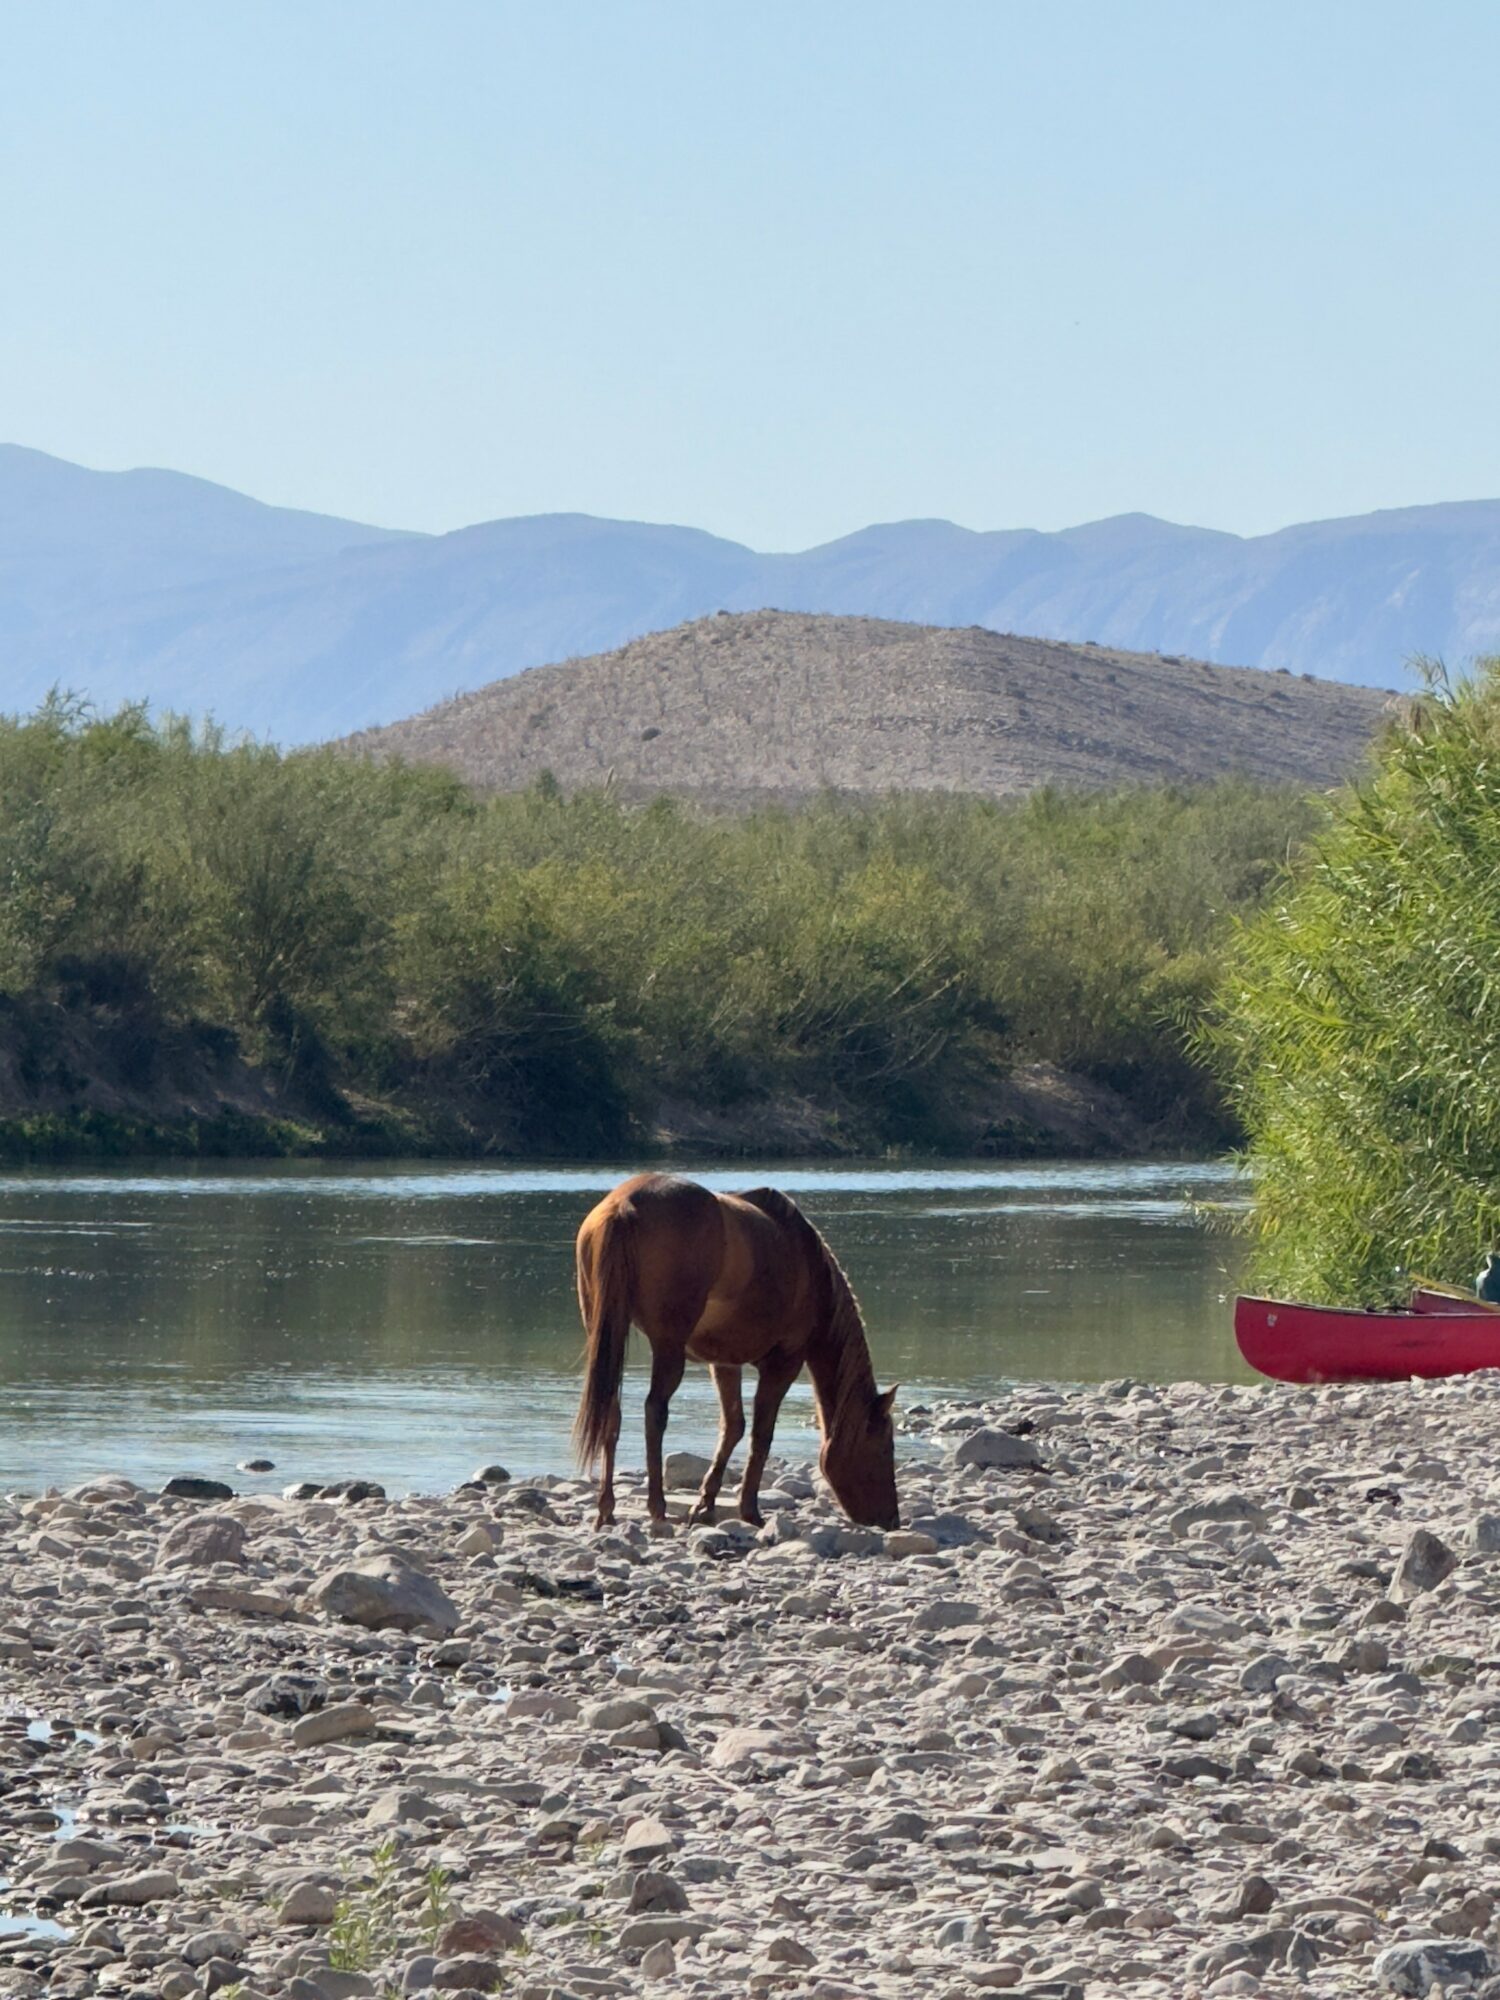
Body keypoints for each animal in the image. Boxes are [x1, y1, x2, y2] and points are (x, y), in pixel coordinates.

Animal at [572, 1172, 899, 1532]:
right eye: (884, 1448)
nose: (892, 1519)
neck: (810, 1271)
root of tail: (623, 1205)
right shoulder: (783, 1362)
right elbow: (761, 1434)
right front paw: (749, 1510)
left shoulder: (724, 1362)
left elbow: (733, 1426)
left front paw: (705, 1504)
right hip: (668, 1345)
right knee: (654, 1411)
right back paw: (656, 1506)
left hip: (606, 1330)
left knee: (611, 1411)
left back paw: (607, 1509)